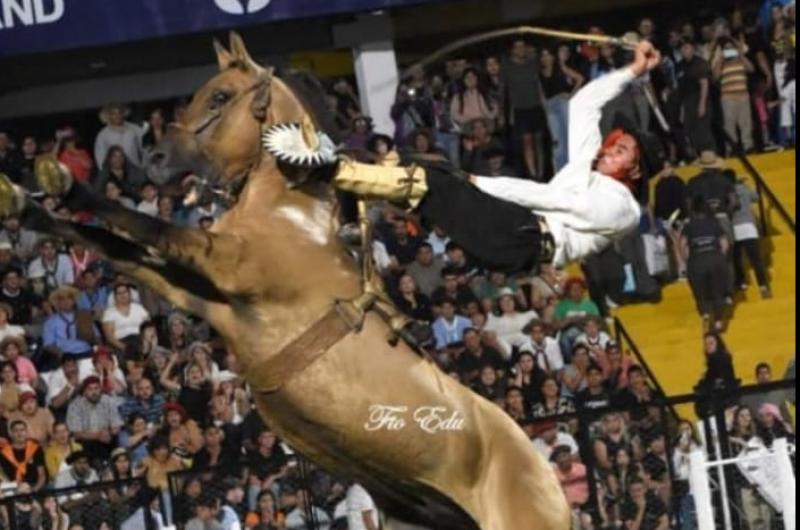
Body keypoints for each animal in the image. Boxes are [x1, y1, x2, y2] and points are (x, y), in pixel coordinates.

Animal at [3, 33, 572, 528]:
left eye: (220, 96)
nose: (157, 161)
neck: (290, 215)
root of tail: (548, 480)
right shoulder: (200, 293)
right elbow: (119, 248)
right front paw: (29, 205)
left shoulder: (224, 263)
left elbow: (147, 227)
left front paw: (64, 185)